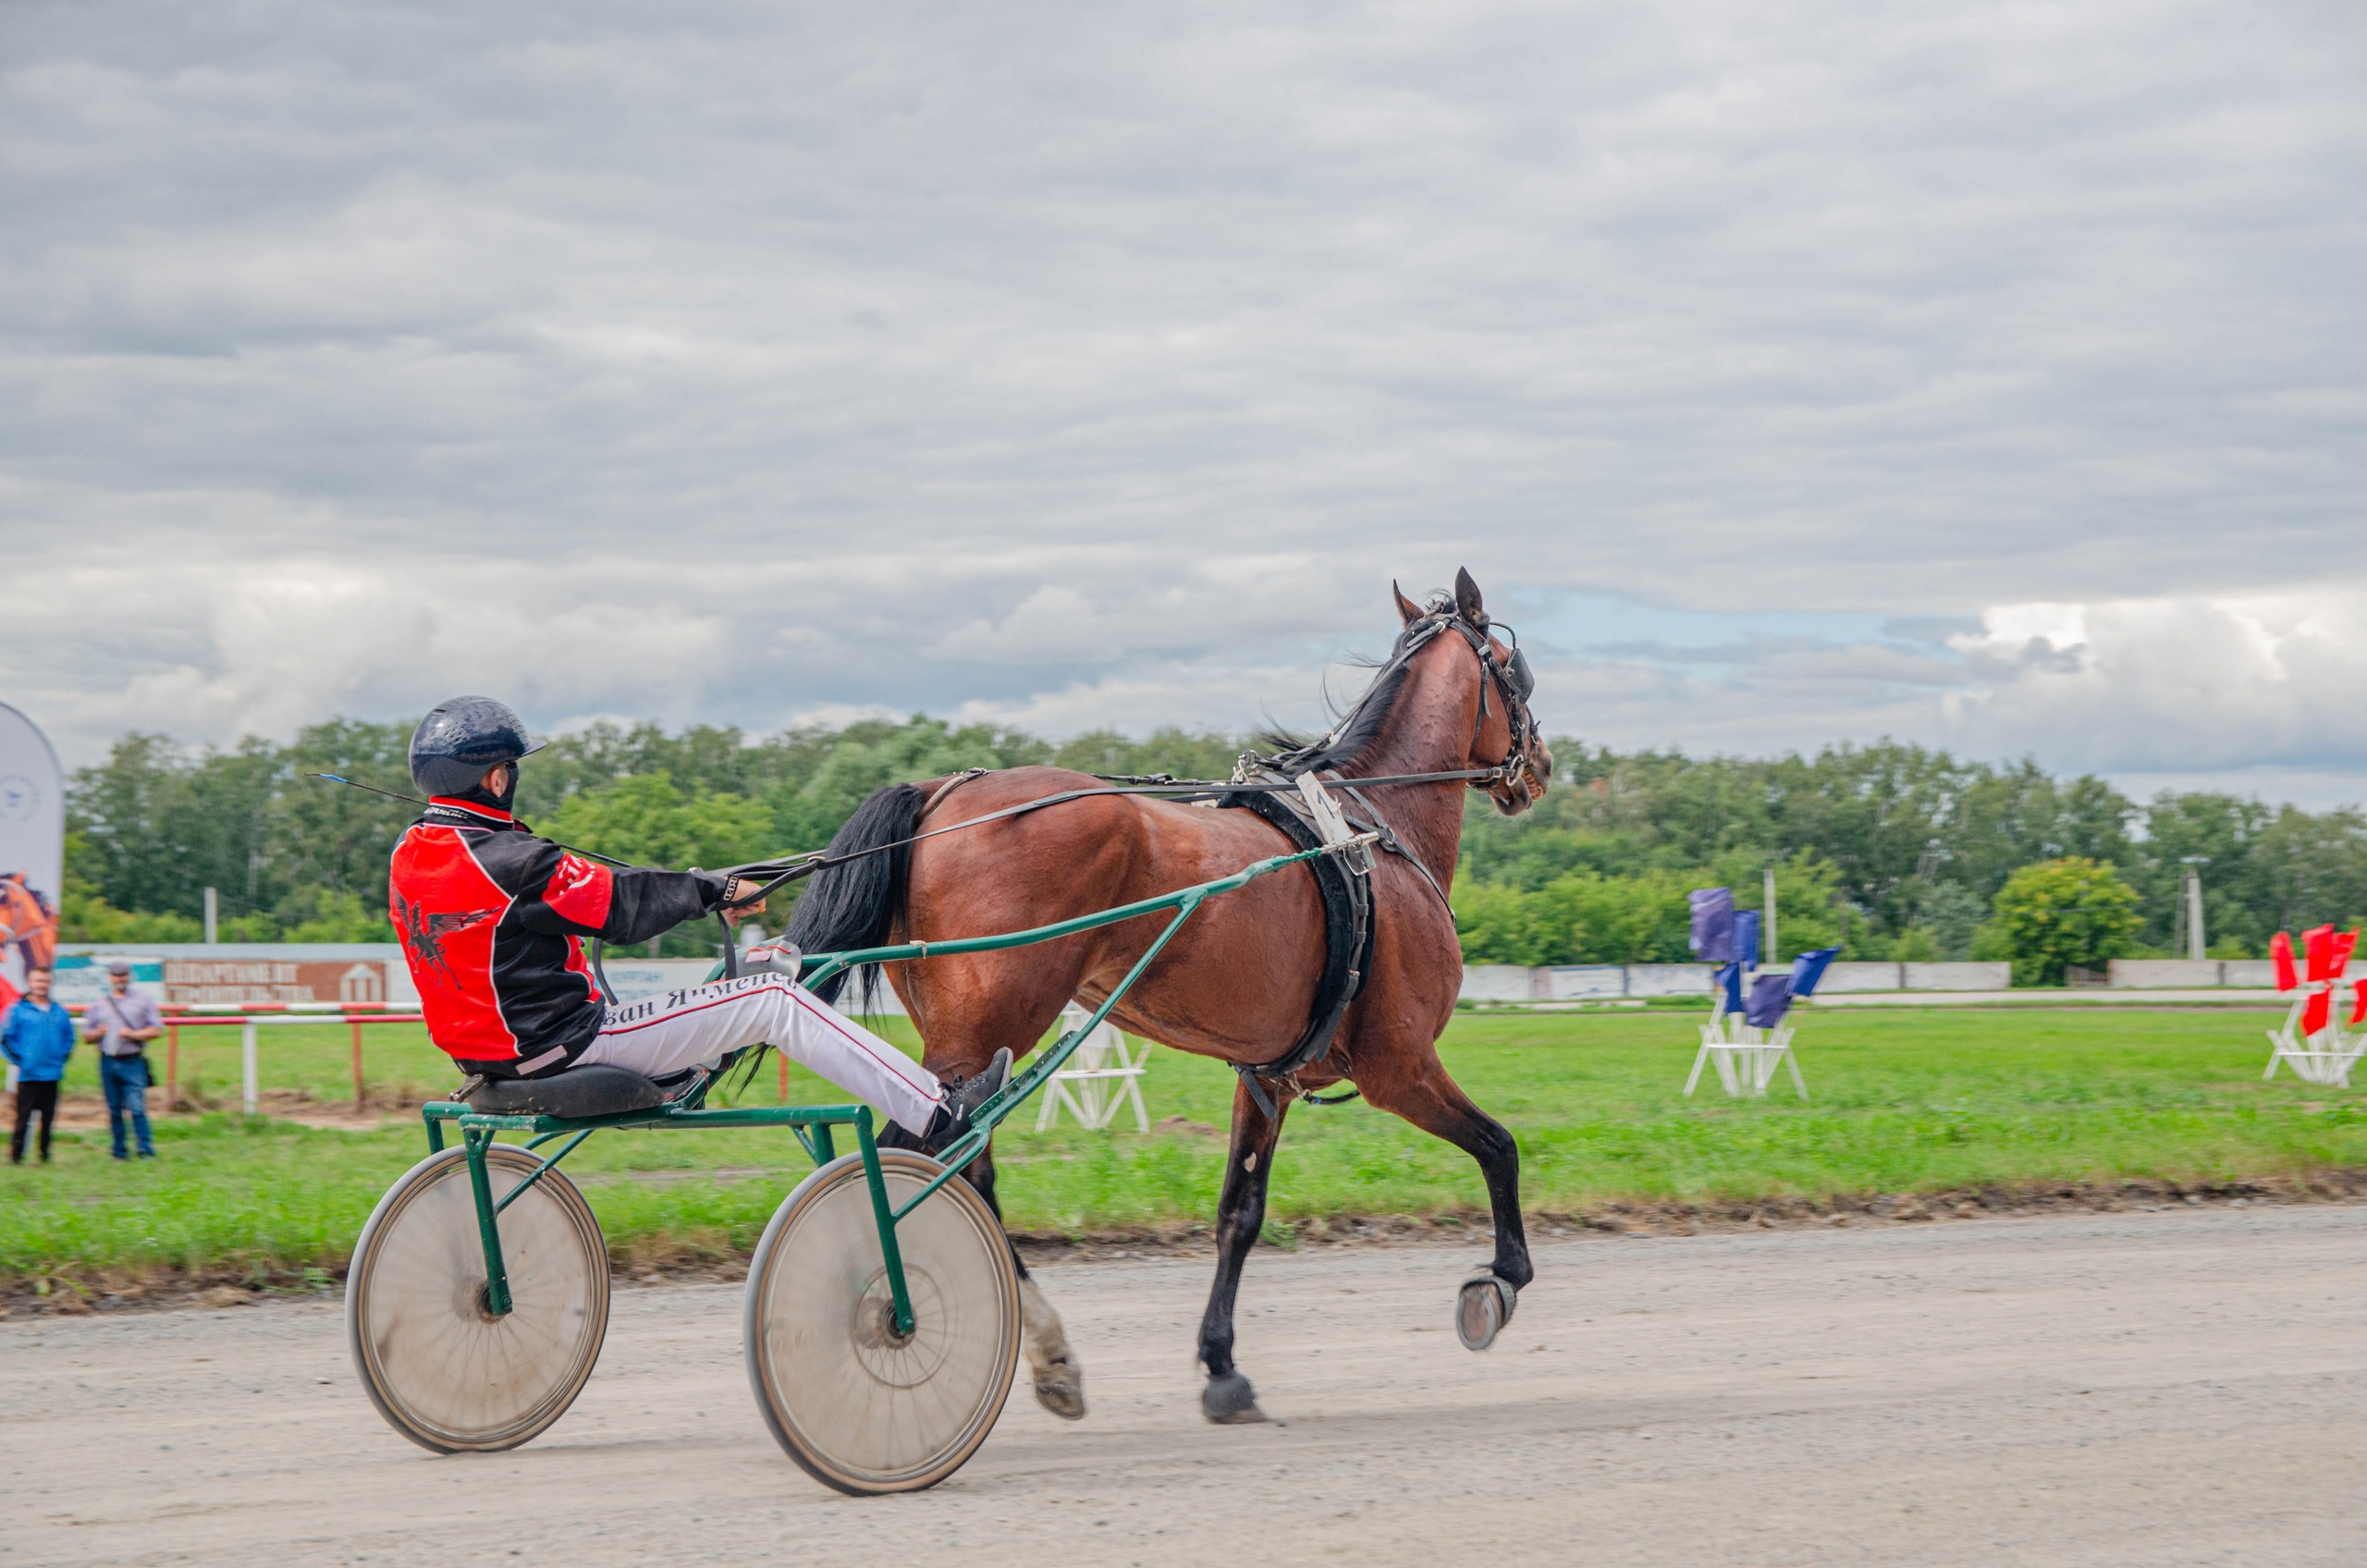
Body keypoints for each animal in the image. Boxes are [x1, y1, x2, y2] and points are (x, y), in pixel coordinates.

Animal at [785, 570, 1543, 1430]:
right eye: (1513, 671)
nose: (1541, 765)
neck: (1367, 827)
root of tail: (940, 794)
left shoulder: (1270, 1074)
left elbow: (1240, 1214)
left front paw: (1222, 1365)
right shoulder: (1400, 1064)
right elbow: (1498, 1146)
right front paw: (1501, 1278)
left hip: (968, 1049)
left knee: (961, 1169)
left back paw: (1039, 1346)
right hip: (986, 1036)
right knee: (917, 1161)